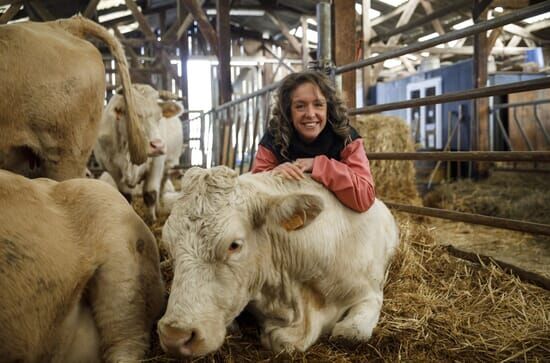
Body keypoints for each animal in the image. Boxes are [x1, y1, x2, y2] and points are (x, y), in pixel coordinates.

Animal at [96, 84, 187, 222]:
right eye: (135, 116)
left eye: (159, 117)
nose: (158, 145)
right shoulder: (111, 167)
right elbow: (126, 196)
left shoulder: (157, 163)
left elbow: (150, 194)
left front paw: (151, 220)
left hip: (168, 165)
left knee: (162, 185)